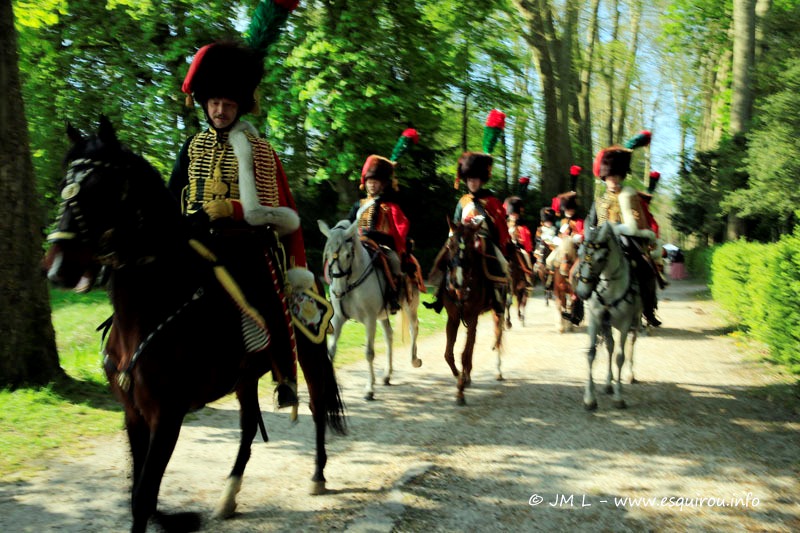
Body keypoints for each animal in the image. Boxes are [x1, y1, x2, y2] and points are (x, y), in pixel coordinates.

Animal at [43, 117, 344, 532]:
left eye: (102, 188)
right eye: (63, 184)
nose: (59, 270)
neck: (154, 306)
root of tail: (309, 273)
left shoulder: (167, 415)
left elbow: (143, 495)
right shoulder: (133, 414)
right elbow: (140, 492)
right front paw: (174, 517)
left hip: (310, 355)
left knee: (315, 405)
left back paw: (317, 475)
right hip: (244, 378)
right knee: (248, 427)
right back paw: (229, 496)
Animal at [318, 206, 422, 402]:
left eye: (348, 255)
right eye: (327, 255)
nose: (337, 291)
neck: (351, 281)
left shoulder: (370, 319)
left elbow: (369, 353)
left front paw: (369, 390)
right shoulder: (338, 319)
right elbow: (331, 351)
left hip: (409, 305)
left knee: (414, 328)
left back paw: (414, 360)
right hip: (383, 315)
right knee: (389, 336)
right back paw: (387, 375)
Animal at [434, 216, 504, 404]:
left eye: (472, 247)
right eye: (450, 245)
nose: (456, 281)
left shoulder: (472, 316)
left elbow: (465, 354)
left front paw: (460, 390)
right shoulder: (453, 318)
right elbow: (448, 354)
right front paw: (459, 376)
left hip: (497, 311)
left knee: (497, 337)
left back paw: (498, 371)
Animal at [576, 222, 644, 410]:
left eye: (600, 258)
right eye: (580, 253)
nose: (582, 292)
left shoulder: (624, 323)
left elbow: (620, 357)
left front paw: (618, 398)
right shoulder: (595, 319)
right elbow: (591, 354)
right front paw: (589, 398)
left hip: (634, 321)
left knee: (630, 344)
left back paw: (629, 375)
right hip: (607, 324)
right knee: (610, 347)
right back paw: (608, 383)